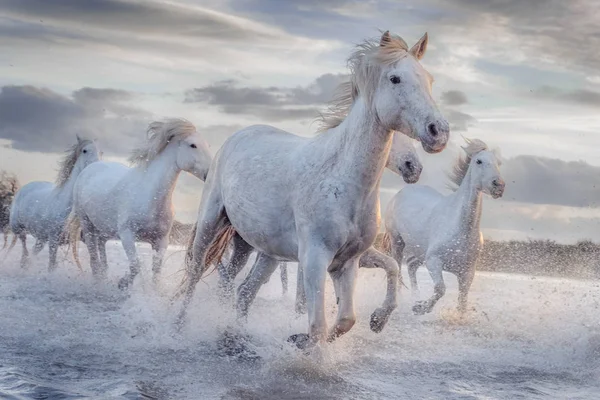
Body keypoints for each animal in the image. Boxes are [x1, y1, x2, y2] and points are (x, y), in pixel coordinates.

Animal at [67, 119, 212, 288]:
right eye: (192, 145)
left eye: (208, 145)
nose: (210, 173)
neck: (150, 198)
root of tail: (91, 167)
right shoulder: (127, 235)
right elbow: (136, 265)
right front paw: (122, 283)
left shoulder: (161, 241)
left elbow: (156, 273)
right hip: (87, 224)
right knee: (93, 258)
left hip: (103, 230)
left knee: (102, 254)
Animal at [216, 134, 422, 332]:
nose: (413, 167)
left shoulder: (353, 255)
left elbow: (391, 265)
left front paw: (378, 319)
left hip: (264, 255)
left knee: (244, 287)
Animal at [382, 138, 504, 316]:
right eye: (479, 161)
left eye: (498, 163)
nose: (499, 186)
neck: (461, 229)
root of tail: (401, 192)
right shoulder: (434, 261)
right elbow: (440, 288)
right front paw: (421, 308)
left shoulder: (467, 272)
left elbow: (462, 301)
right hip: (397, 241)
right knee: (398, 269)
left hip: (419, 251)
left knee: (411, 265)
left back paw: (415, 298)